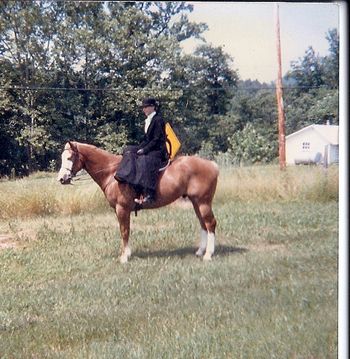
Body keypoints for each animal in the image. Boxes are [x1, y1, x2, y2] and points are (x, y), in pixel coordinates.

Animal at [57, 141, 219, 264]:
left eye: (70, 157)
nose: (61, 179)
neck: (112, 173)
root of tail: (212, 165)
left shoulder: (122, 209)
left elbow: (124, 231)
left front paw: (124, 257)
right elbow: (125, 230)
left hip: (203, 202)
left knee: (210, 224)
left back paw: (208, 255)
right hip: (196, 202)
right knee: (203, 224)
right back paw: (200, 251)